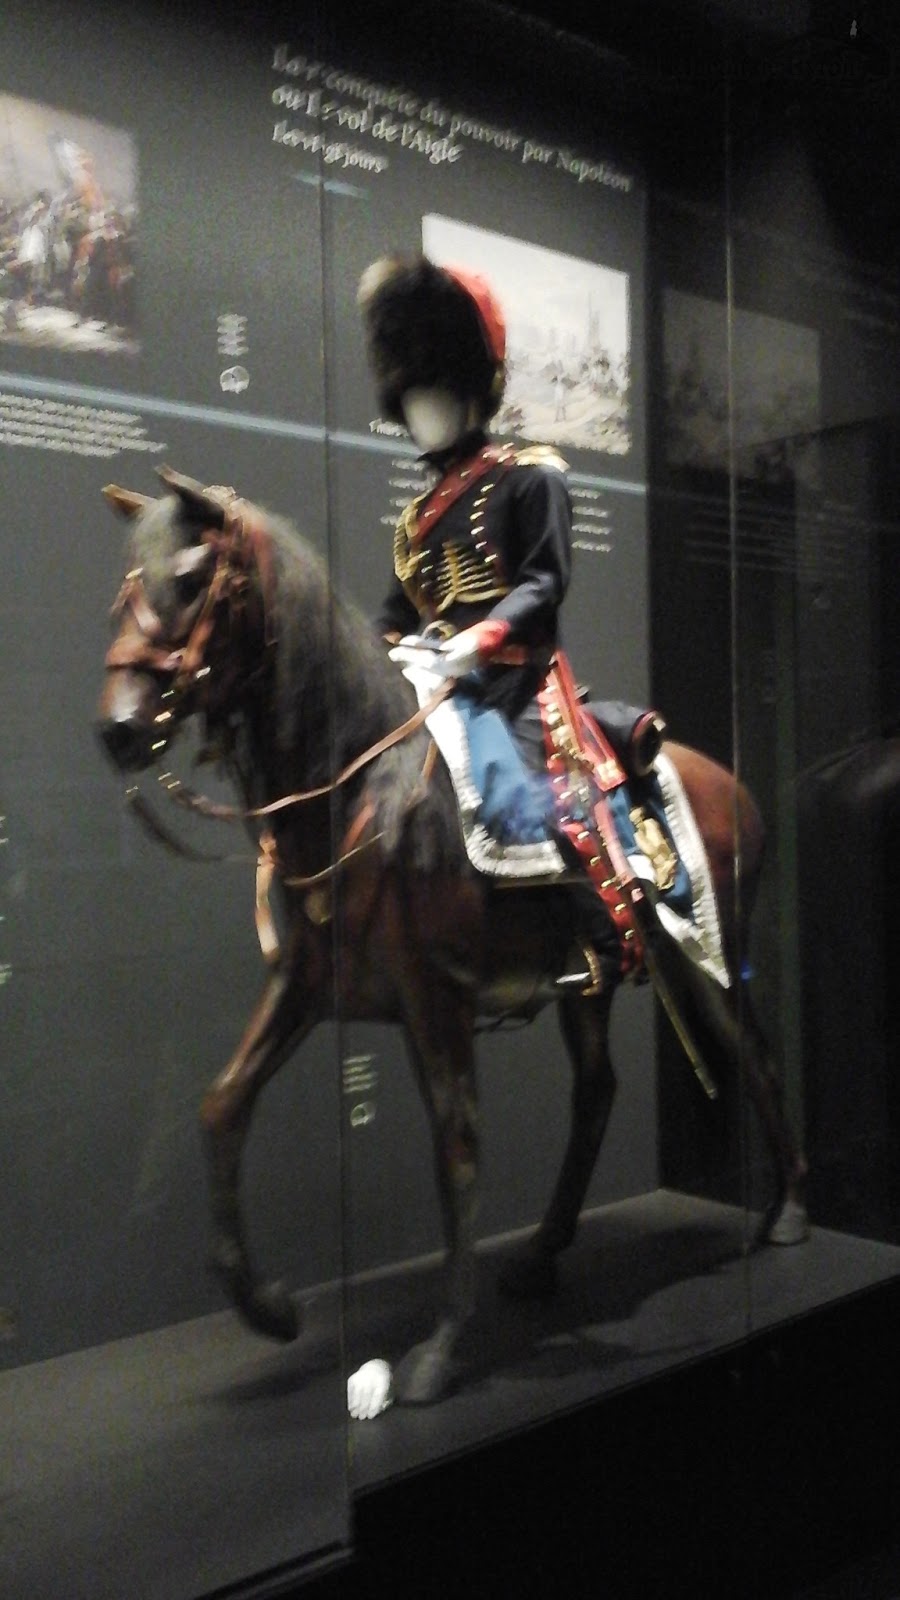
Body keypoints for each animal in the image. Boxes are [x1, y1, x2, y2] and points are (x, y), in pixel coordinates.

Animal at [95, 466, 809, 1406]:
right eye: (124, 588)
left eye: (187, 579)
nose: (117, 728)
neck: (358, 785)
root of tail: (730, 782)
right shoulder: (309, 986)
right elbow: (221, 1105)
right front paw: (269, 1308)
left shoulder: (437, 1002)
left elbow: (457, 1149)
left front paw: (437, 1350)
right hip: (595, 979)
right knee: (598, 1091)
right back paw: (542, 1254)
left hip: (710, 961)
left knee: (757, 1057)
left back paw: (788, 1212)